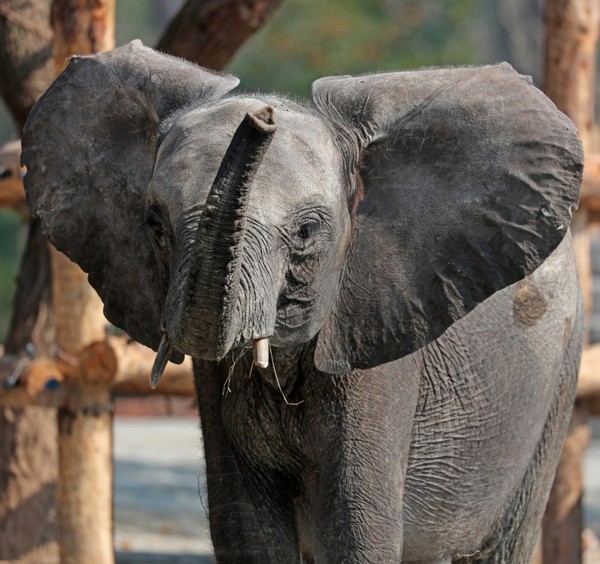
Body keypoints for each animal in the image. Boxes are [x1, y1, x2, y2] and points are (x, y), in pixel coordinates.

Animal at [21, 40, 584, 564]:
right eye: (155, 224)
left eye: (307, 232)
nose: (261, 117)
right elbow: (247, 531)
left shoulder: (375, 336)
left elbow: (356, 530)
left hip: (554, 386)